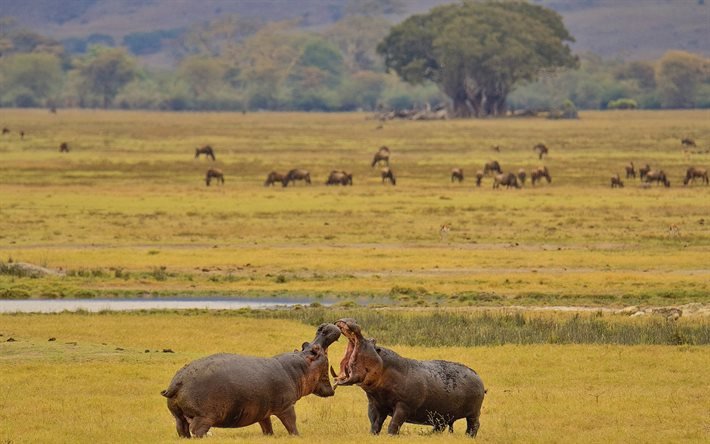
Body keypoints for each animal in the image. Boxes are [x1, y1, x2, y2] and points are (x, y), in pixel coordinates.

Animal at [163, 322, 340, 438]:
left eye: (305, 345)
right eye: (315, 349)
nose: (324, 327)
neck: (299, 368)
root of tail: (178, 382)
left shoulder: (263, 410)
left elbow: (266, 425)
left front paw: (269, 436)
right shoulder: (287, 406)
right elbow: (291, 423)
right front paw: (297, 436)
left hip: (177, 415)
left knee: (182, 429)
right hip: (204, 416)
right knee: (197, 430)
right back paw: (207, 437)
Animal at [330, 320, 486, 438]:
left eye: (373, 341)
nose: (353, 321)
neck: (384, 366)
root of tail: (477, 375)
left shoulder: (403, 406)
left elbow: (394, 423)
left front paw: (390, 437)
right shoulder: (375, 404)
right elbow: (375, 423)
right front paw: (373, 435)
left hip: (473, 413)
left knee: (474, 425)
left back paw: (469, 437)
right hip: (441, 414)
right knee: (440, 427)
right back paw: (430, 436)